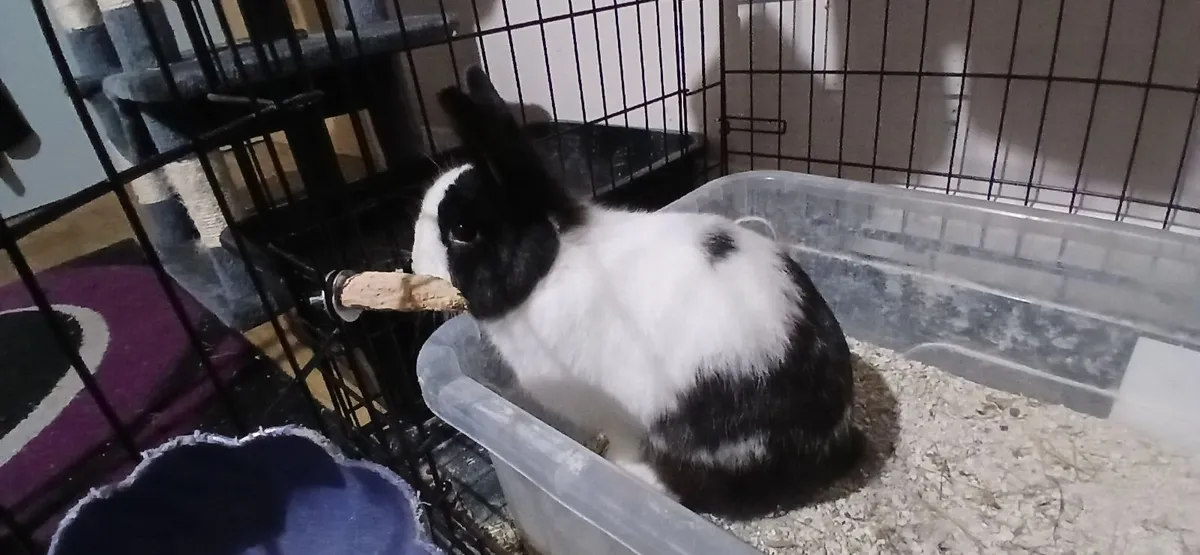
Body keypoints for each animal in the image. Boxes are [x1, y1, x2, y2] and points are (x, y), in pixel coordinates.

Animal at [412, 66, 864, 519]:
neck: (552, 264)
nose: (413, 263)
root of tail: (834, 438)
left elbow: (624, 441)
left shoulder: (617, 417)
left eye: (462, 231)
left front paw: (617, 463)